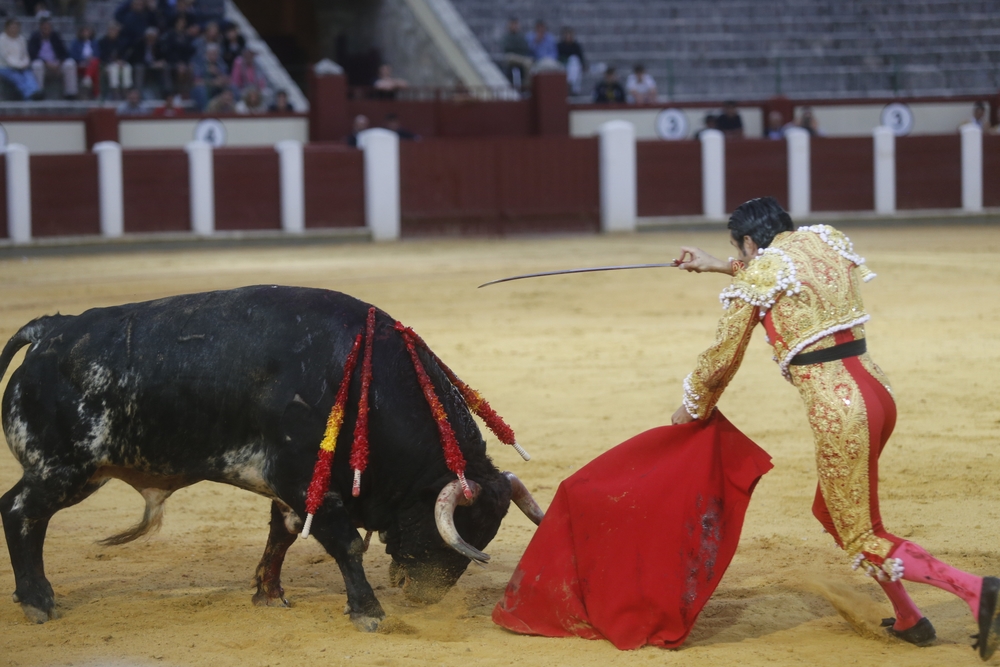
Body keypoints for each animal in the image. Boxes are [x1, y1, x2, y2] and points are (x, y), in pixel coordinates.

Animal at [0, 284, 544, 628]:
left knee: (28, 517)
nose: (423, 597)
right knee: (20, 511)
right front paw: (369, 612)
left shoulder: (292, 489)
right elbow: (345, 544)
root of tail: (49, 331)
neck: (368, 386)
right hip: (64, 469)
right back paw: (38, 602)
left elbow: (280, 537)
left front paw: (269, 595)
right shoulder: (305, 481)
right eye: (454, 531)